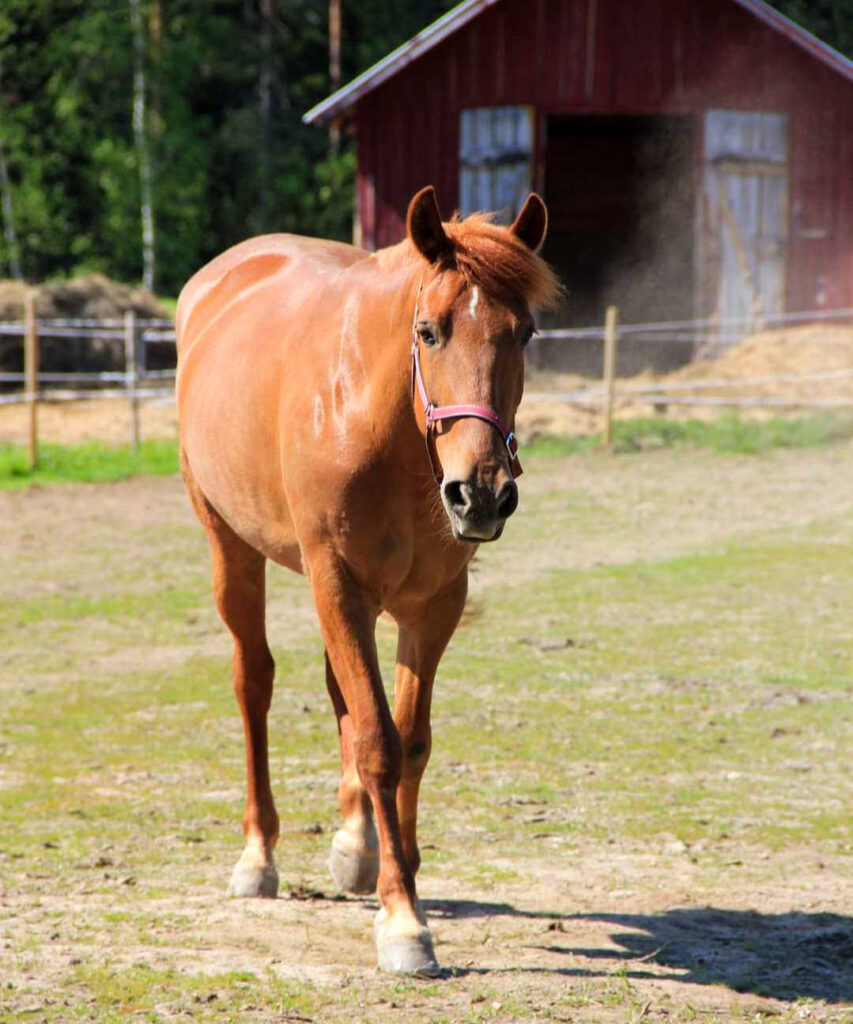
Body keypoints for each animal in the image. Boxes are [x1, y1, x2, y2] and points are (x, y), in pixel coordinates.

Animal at [175, 186, 557, 974]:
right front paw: (404, 920)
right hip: (231, 548)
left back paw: (356, 847)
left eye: (526, 333)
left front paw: (396, 867)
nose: (480, 493)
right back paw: (258, 857)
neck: (385, 429)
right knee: (253, 682)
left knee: (338, 698)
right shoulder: (339, 584)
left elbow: (407, 741)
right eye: (429, 331)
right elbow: (378, 740)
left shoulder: (433, 605)